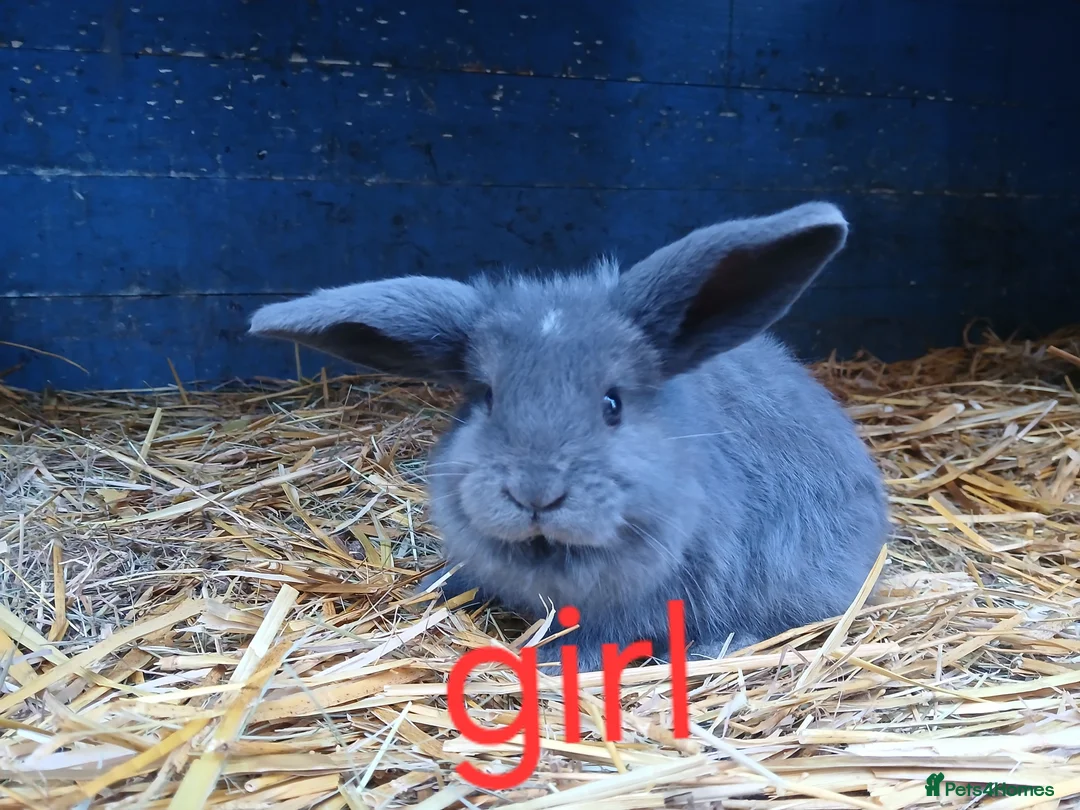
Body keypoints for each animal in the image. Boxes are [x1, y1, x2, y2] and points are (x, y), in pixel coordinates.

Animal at [249, 202, 890, 674]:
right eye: (486, 397)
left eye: (613, 404)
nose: (535, 493)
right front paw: (431, 588)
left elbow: (599, 636)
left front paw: (551, 663)